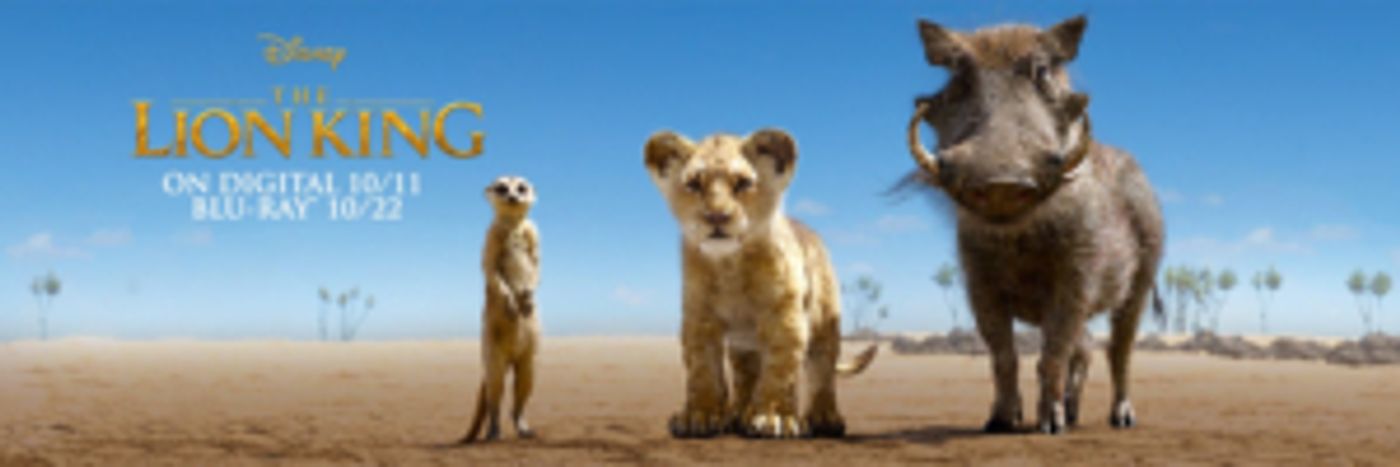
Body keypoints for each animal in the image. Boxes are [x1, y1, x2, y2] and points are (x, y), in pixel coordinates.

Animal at [643, 129, 878, 439]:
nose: (716, 216)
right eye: (693, 184)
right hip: (743, 346)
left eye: (743, 183)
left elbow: (779, 368)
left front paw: (775, 417)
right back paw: (738, 415)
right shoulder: (699, 317)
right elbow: (702, 368)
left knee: (821, 370)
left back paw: (824, 418)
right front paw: (699, 415)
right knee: (746, 374)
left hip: (824, 324)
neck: (730, 264)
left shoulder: (783, 315)